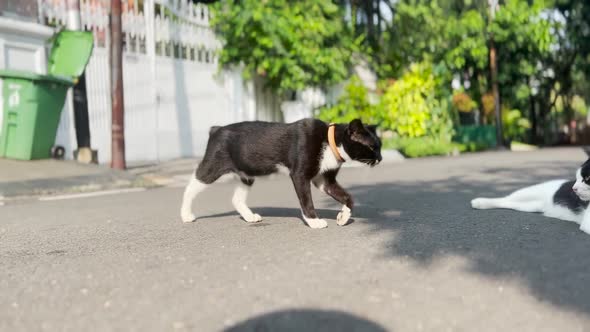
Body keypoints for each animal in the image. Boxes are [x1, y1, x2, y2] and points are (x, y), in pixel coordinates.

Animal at [180, 118, 384, 228]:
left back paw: (249, 217)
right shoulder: (300, 175)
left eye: (380, 146)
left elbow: (348, 197)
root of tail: (216, 129)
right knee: (192, 185)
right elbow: (306, 200)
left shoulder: (324, 180)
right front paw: (314, 221)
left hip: (247, 173)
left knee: (236, 198)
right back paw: (186, 215)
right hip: (213, 166)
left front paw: (343, 216)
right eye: (372, 147)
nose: (381, 158)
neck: (329, 141)